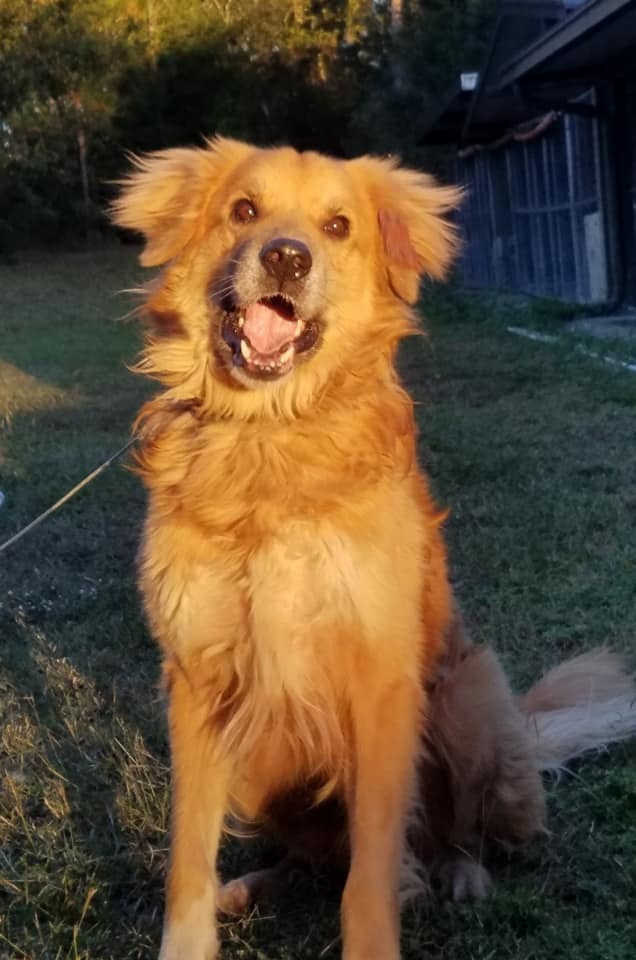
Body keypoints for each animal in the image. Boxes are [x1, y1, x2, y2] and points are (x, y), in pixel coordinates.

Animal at [114, 139, 636, 956]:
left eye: (337, 226)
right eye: (244, 210)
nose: (287, 257)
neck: (271, 442)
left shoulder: (381, 684)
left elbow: (370, 875)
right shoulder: (197, 681)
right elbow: (188, 861)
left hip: (468, 694)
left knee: (454, 836)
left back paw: (458, 876)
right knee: (308, 858)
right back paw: (254, 885)